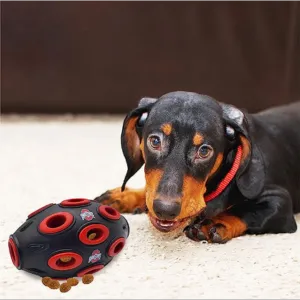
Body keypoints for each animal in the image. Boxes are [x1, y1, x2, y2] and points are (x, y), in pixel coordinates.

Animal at [94, 92, 300, 244]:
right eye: (155, 141)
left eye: (204, 151)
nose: (165, 209)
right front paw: (126, 196)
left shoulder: (279, 203)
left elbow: (247, 211)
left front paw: (214, 223)